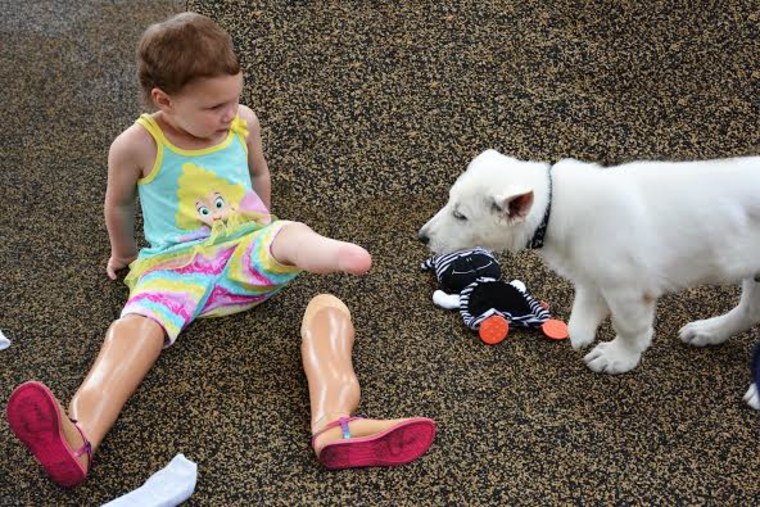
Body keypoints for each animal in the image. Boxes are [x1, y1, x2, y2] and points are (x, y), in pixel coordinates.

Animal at [418, 149, 756, 410]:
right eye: (449, 202)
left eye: (461, 216)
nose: (422, 237)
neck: (554, 206)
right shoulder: (594, 271)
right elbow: (587, 295)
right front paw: (580, 329)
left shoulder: (629, 287)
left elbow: (629, 326)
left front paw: (618, 358)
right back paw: (708, 330)